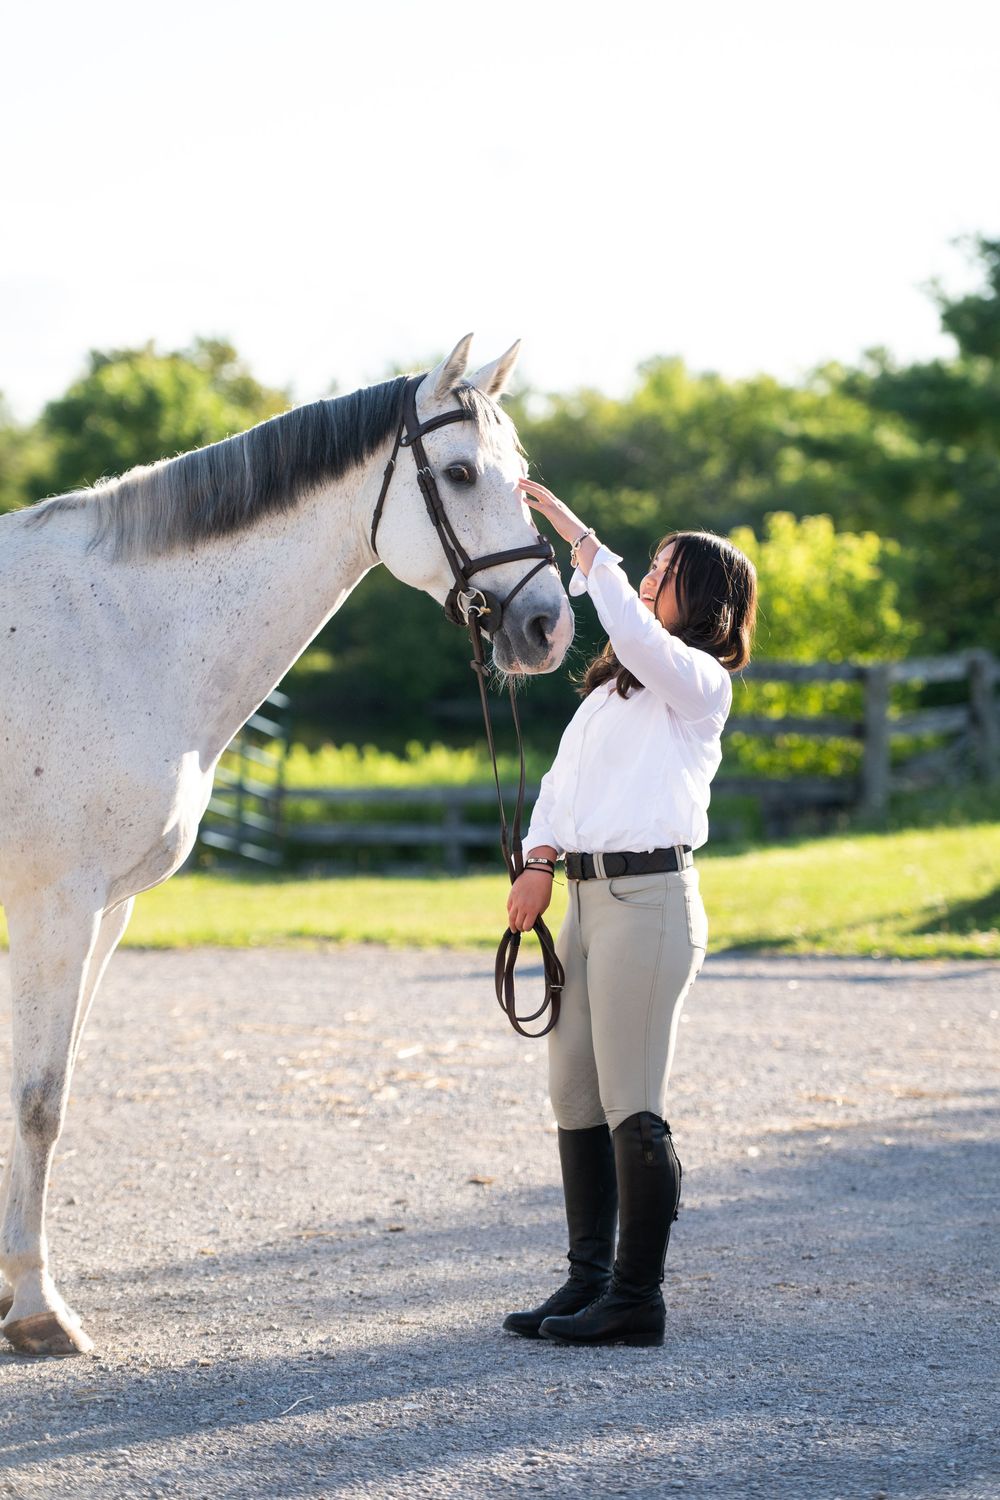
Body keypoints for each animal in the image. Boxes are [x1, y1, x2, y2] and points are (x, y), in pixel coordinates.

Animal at [0, 334, 574, 1357]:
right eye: (461, 473)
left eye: (523, 474)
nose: (548, 626)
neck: (118, 633)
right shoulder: (53, 907)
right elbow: (37, 1101)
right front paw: (37, 1309)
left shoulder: (106, 912)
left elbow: (41, 1094)